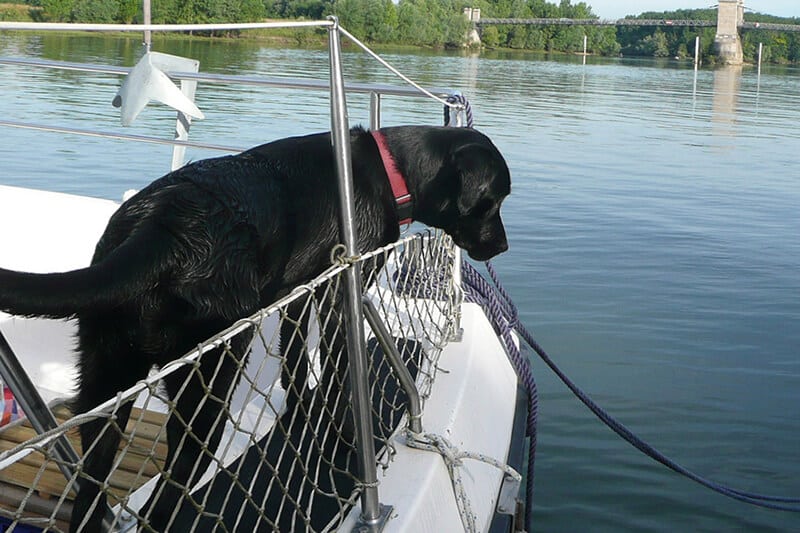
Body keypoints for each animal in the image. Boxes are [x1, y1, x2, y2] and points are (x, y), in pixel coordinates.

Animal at [0, 123, 512, 528]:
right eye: (492, 201)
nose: (504, 247)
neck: (391, 172)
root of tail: (162, 226)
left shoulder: (297, 297)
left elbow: (295, 363)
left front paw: (300, 415)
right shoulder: (338, 295)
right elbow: (339, 377)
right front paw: (345, 438)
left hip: (104, 384)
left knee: (92, 487)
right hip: (209, 380)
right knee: (166, 494)